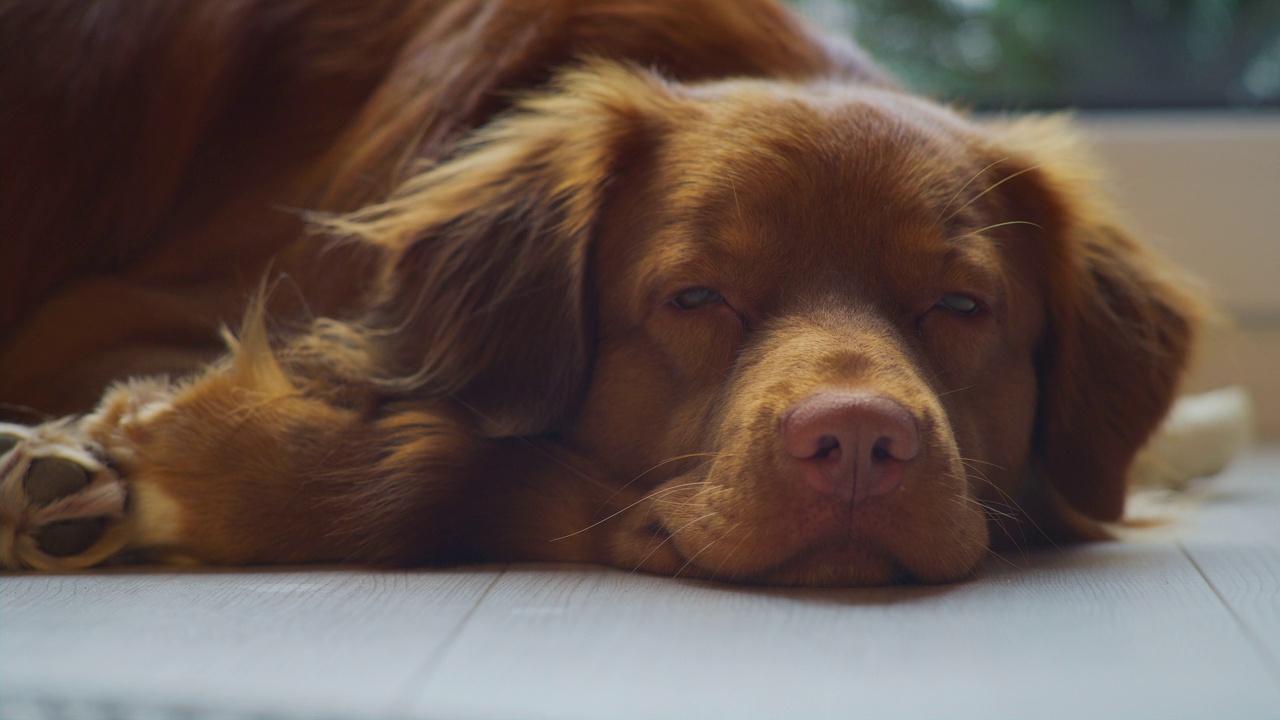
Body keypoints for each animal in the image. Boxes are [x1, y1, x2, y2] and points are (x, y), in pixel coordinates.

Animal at [0, 0, 1198, 584]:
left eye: (959, 309)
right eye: (696, 298)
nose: (859, 444)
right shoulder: (108, 327)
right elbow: (451, 457)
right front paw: (128, 470)